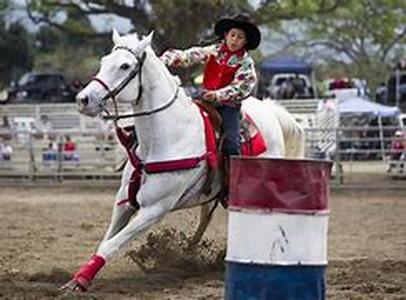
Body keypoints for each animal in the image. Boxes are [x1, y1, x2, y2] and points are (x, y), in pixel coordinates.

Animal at [61, 29, 304, 292]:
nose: (83, 99)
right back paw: (188, 254)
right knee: (205, 217)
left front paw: (81, 281)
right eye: (104, 61)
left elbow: (111, 244)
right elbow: (106, 240)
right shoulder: (124, 202)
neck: (164, 138)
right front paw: (77, 278)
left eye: (125, 66)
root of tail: (271, 111)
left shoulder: (154, 210)